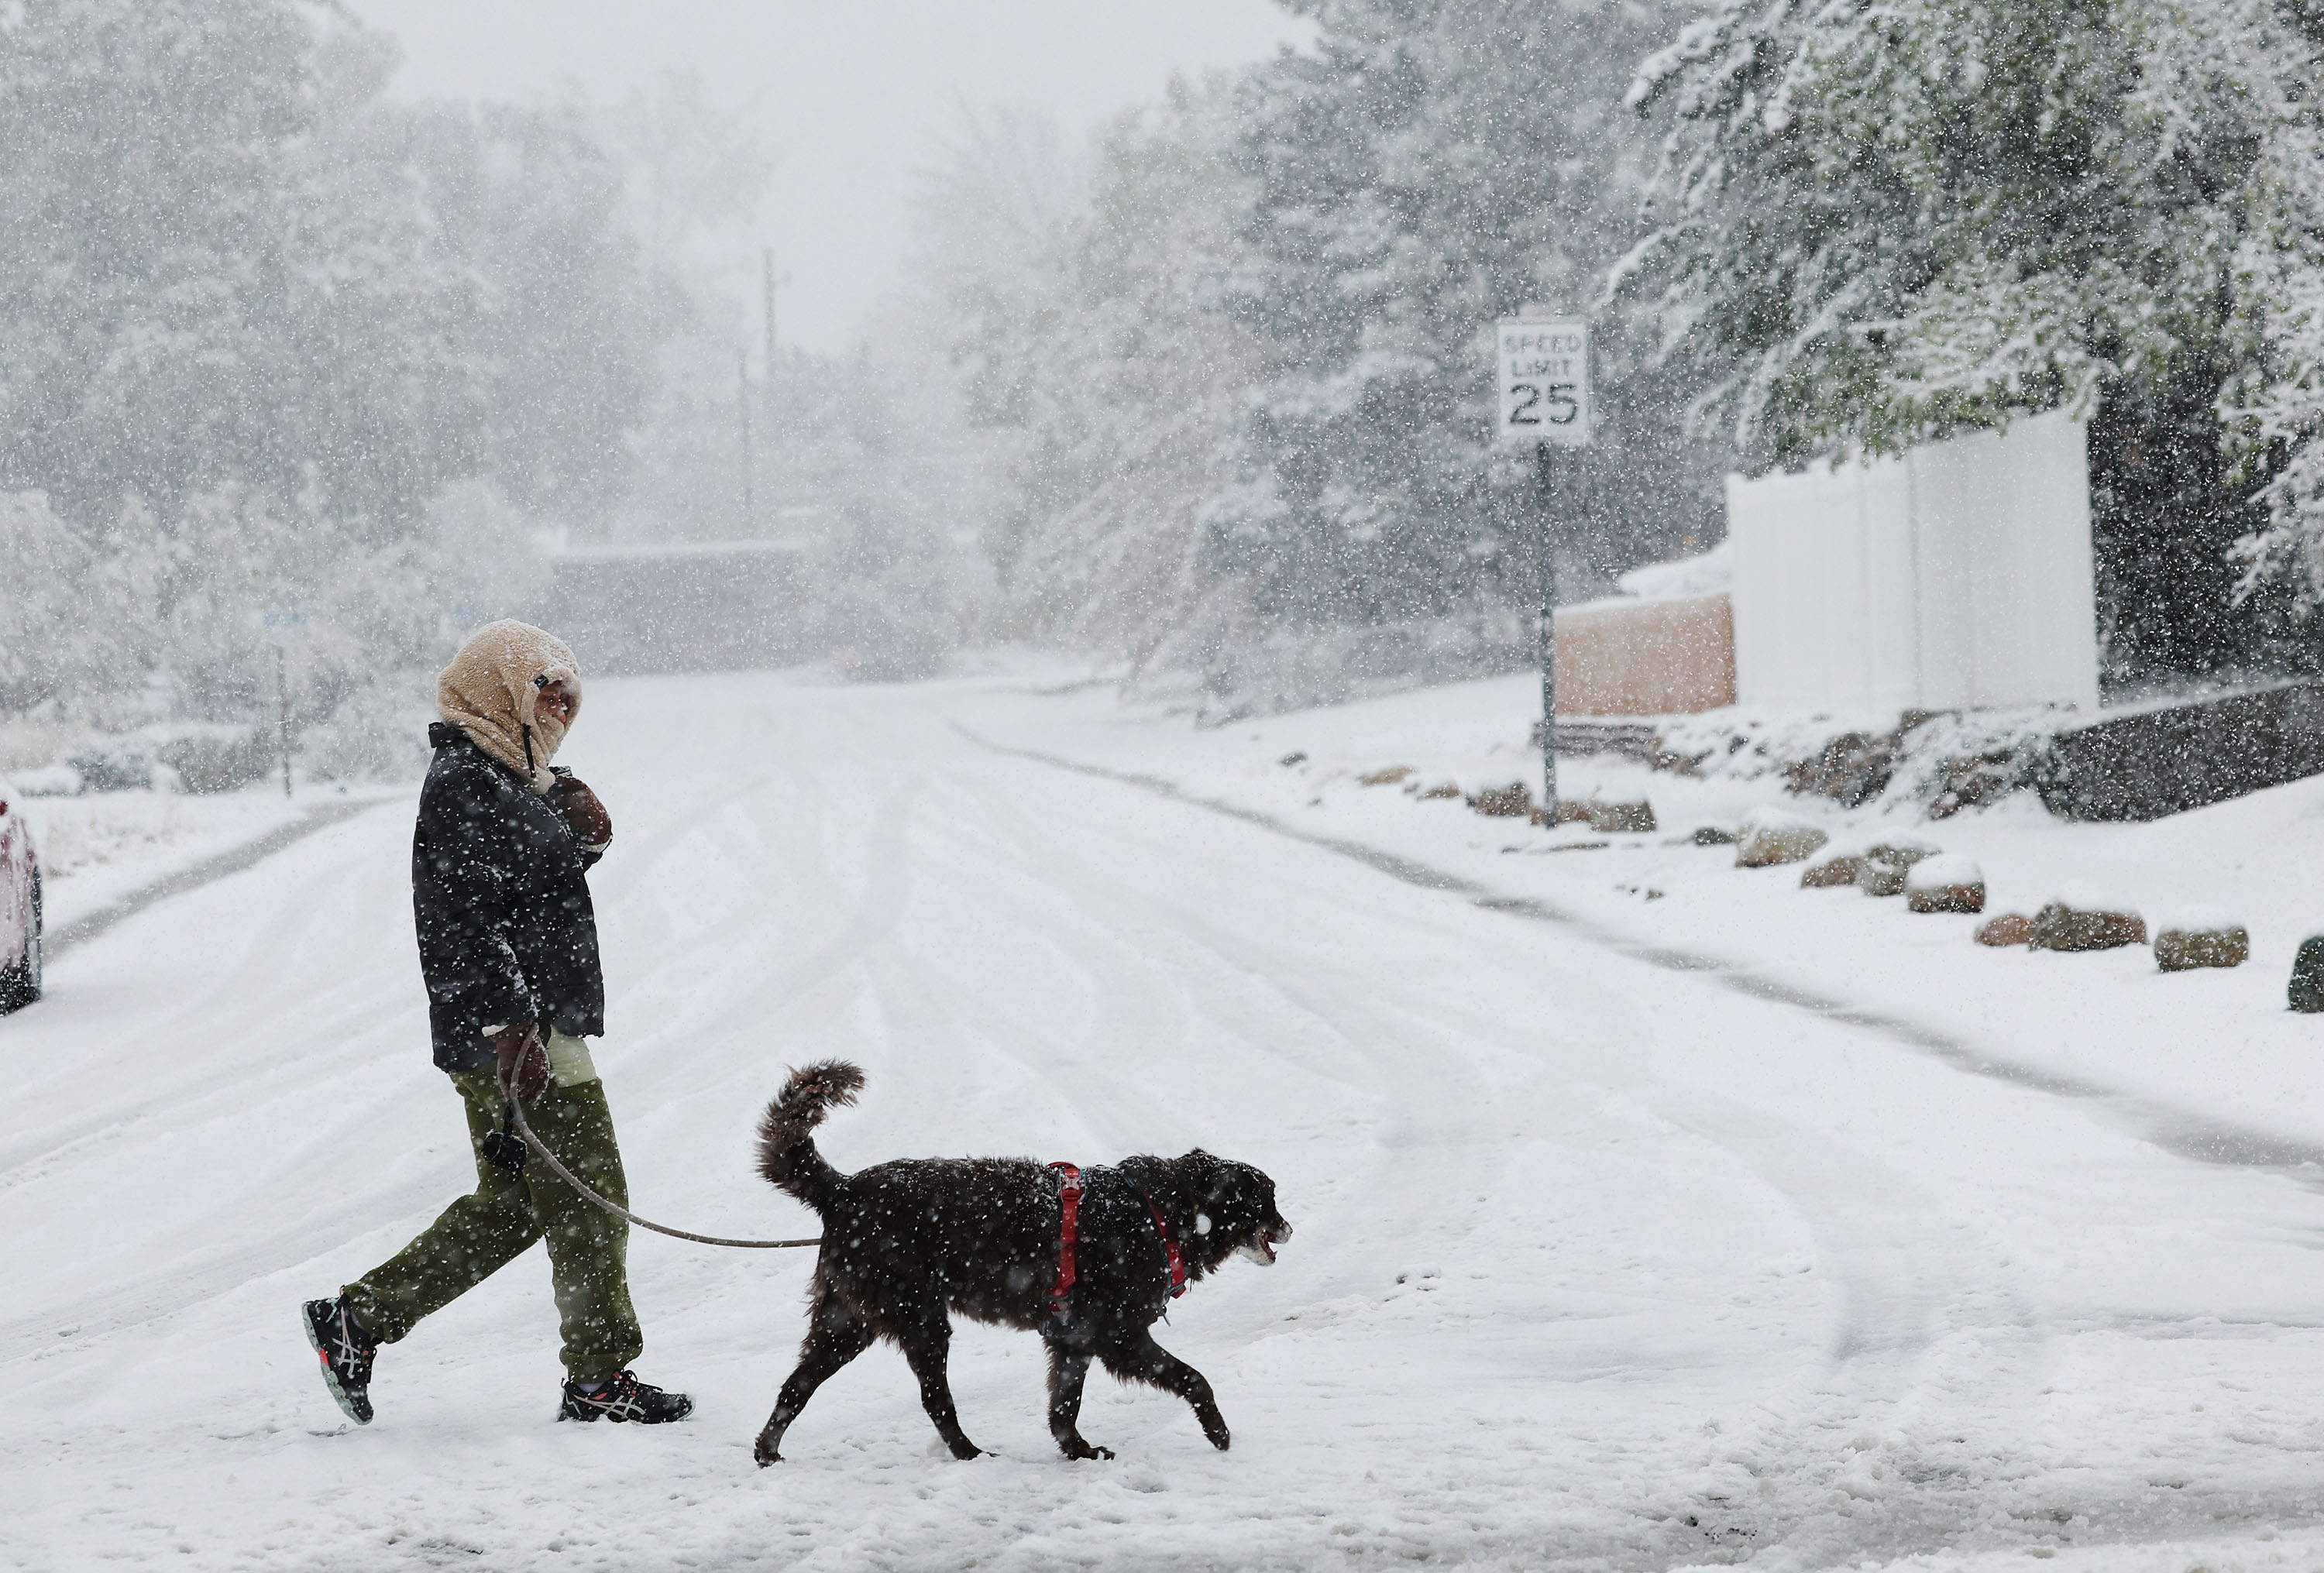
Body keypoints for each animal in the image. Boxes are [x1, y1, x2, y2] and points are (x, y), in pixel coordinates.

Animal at [753, 1060, 1292, 1468]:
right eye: (1264, 1199)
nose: (1290, 1228)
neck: (1158, 1211)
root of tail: (842, 1190)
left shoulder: (1073, 1342)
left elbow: (1063, 1410)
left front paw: (1080, 1453)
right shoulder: (1120, 1337)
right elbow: (1193, 1378)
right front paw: (1219, 1434)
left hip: (846, 1323)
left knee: (794, 1388)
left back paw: (767, 1453)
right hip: (921, 1321)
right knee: (934, 1399)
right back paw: (970, 1455)